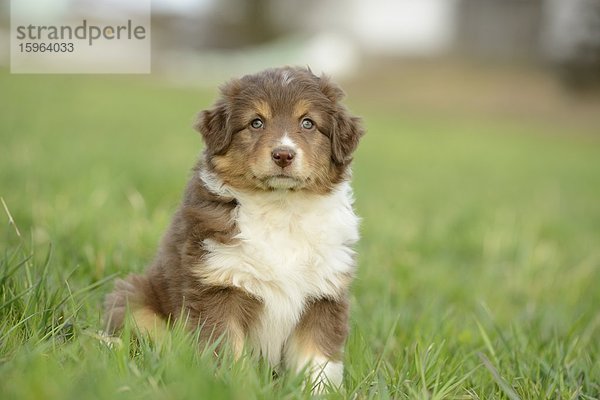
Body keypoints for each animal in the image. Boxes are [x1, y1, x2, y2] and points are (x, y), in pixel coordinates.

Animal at [105, 66, 364, 390]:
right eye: (256, 122)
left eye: (308, 123)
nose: (283, 155)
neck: (280, 207)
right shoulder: (218, 287)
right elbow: (228, 352)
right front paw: (235, 387)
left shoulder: (324, 293)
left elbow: (319, 361)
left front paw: (319, 392)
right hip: (134, 298)